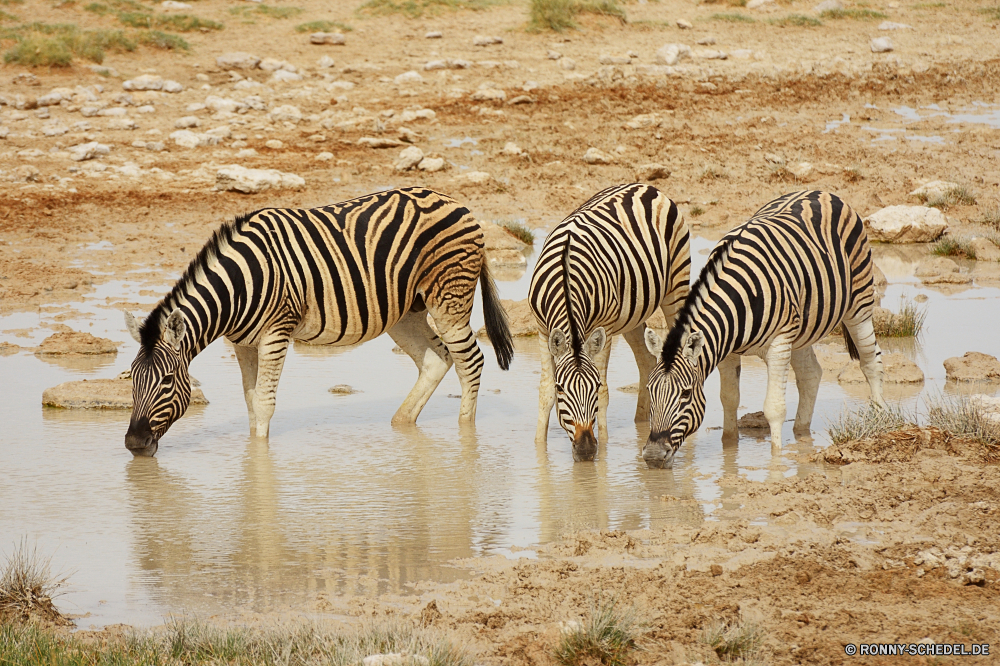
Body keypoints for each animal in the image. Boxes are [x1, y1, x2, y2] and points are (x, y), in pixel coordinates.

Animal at [124, 187, 512, 456]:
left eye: (168, 381)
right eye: (131, 380)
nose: (133, 443)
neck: (239, 286)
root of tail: (456, 202)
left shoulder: (276, 332)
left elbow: (264, 403)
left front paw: (260, 463)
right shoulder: (242, 343)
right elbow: (251, 402)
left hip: (449, 300)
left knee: (470, 361)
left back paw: (466, 435)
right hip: (406, 312)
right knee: (436, 359)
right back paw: (401, 423)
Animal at [528, 183, 692, 462]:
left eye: (592, 387)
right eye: (562, 390)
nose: (585, 450)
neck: (565, 278)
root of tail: (644, 186)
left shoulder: (603, 328)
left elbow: (605, 392)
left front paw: (603, 448)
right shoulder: (542, 329)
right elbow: (544, 392)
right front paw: (539, 447)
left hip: (676, 286)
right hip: (633, 314)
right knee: (646, 360)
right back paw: (642, 420)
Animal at [640, 188, 884, 466]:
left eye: (686, 394)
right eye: (649, 391)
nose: (653, 456)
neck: (738, 301)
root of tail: (821, 191)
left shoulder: (779, 344)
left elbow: (774, 408)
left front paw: (776, 461)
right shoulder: (726, 349)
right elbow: (729, 398)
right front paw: (729, 451)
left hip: (859, 303)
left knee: (870, 362)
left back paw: (877, 423)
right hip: (802, 329)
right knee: (810, 374)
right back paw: (801, 434)